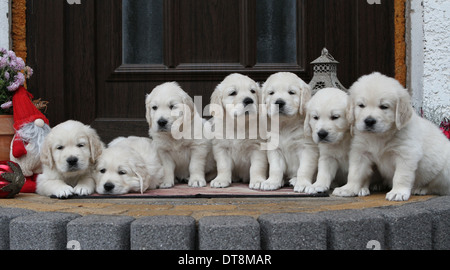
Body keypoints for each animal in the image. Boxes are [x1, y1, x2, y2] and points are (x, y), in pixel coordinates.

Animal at [332, 73, 450, 201]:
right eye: (361, 105)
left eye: (384, 106)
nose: (369, 121)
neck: (379, 137)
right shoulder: (360, 152)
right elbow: (355, 173)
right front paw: (348, 189)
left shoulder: (406, 153)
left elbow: (401, 175)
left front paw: (398, 192)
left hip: (445, 171)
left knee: (439, 187)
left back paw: (421, 189)